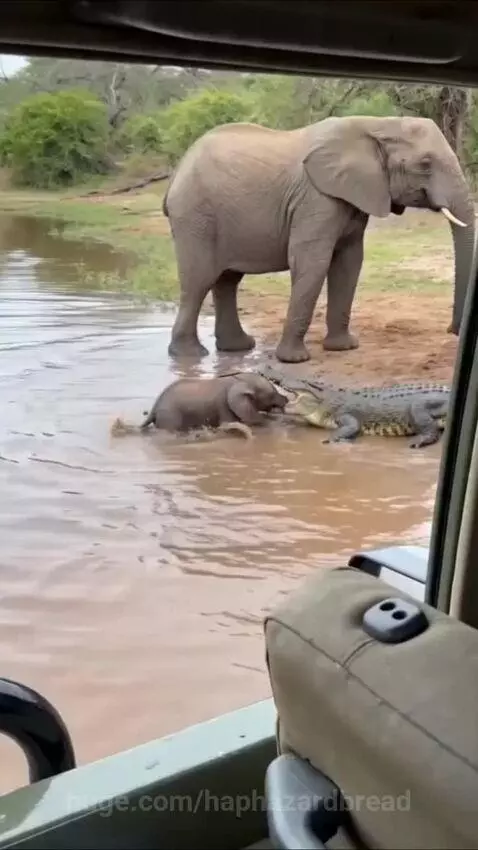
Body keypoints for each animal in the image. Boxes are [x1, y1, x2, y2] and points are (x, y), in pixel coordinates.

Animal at [140, 371, 288, 433]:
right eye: (272, 394)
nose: (286, 400)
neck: (239, 380)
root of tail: (154, 408)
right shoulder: (224, 406)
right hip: (170, 417)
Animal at [164, 115, 476, 364]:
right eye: (425, 163)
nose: (452, 330)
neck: (377, 124)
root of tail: (176, 172)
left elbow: (349, 263)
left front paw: (343, 348)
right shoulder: (316, 199)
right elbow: (312, 262)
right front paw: (294, 360)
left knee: (227, 280)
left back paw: (237, 348)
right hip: (195, 216)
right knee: (199, 281)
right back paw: (190, 356)